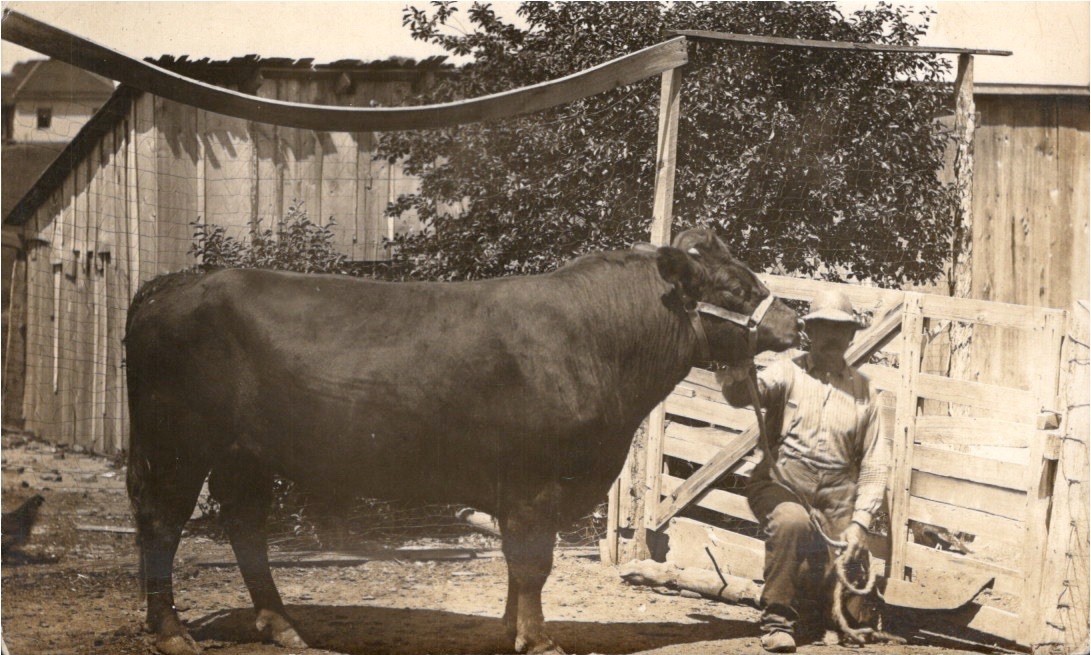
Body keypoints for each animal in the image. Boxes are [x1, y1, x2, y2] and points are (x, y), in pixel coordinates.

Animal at [125, 228, 800, 655]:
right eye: (735, 289)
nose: (793, 322)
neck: (597, 341)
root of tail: (173, 285)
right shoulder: (534, 482)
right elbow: (533, 563)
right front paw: (539, 638)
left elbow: (518, 566)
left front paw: (509, 628)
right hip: (177, 444)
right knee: (162, 522)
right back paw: (173, 632)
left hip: (244, 454)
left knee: (246, 527)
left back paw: (283, 626)